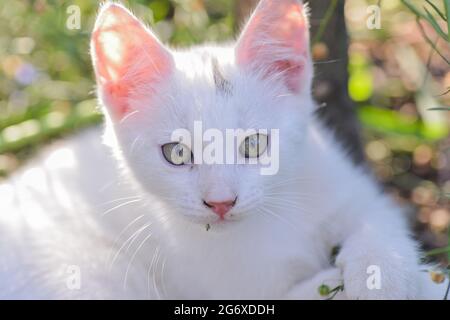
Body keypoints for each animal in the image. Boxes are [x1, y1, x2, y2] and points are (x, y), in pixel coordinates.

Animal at [0, 0, 448, 300]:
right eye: (176, 153)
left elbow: (377, 218)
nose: (220, 203)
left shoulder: (335, 175)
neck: (270, 220)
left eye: (254, 144)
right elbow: (296, 295)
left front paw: (385, 276)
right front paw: (351, 283)